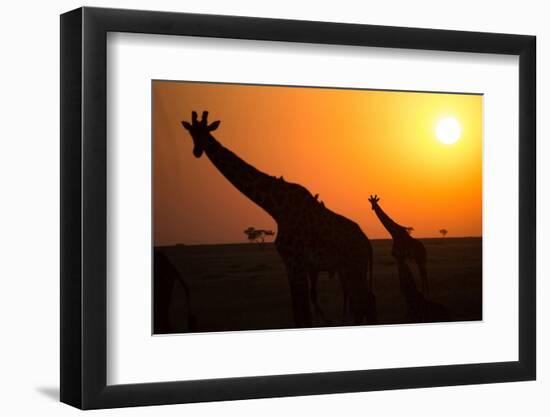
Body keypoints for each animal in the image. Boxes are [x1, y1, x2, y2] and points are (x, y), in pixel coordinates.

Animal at [183, 110, 378, 324]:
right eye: (191, 132)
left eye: (206, 132)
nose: (197, 151)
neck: (277, 209)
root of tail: (366, 244)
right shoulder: (289, 264)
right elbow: (297, 314)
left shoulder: (297, 262)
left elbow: (303, 314)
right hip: (350, 268)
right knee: (364, 303)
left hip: (353, 267)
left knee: (364, 302)